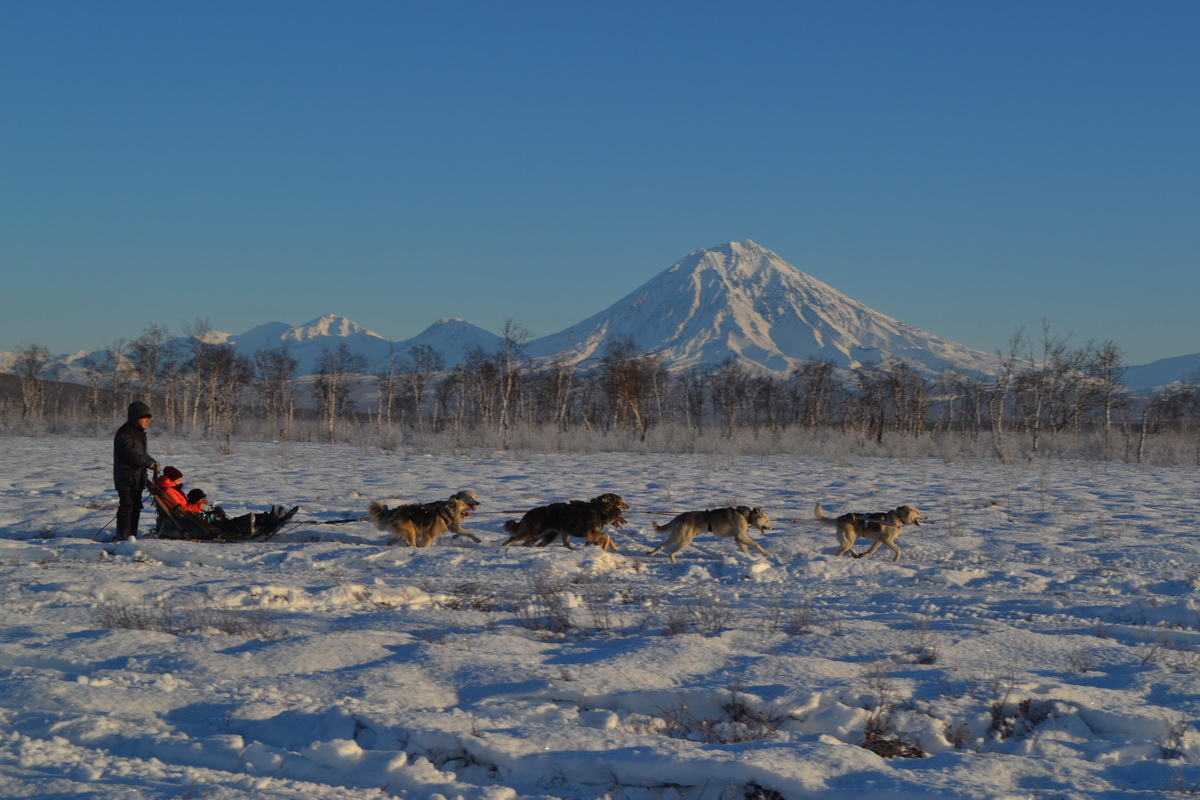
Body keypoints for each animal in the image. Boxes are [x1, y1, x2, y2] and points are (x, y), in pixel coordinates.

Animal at [499, 491, 628, 554]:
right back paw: (501, 548)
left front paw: (612, 548)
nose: (626, 521)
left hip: (545, 536)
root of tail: (529, 512)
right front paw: (608, 547)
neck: (599, 510)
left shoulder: (592, 536)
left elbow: (605, 538)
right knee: (512, 539)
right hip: (532, 532)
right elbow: (606, 536)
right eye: (621, 502)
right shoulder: (589, 534)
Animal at [648, 506, 777, 563]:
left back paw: (651, 553)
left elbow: (745, 550)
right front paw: (765, 553)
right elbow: (756, 544)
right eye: (768, 521)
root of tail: (680, 516)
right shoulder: (740, 537)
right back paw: (675, 563)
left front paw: (748, 558)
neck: (746, 516)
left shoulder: (739, 539)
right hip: (684, 540)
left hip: (677, 537)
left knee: (662, 546)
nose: (773, 528)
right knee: (670, 551)